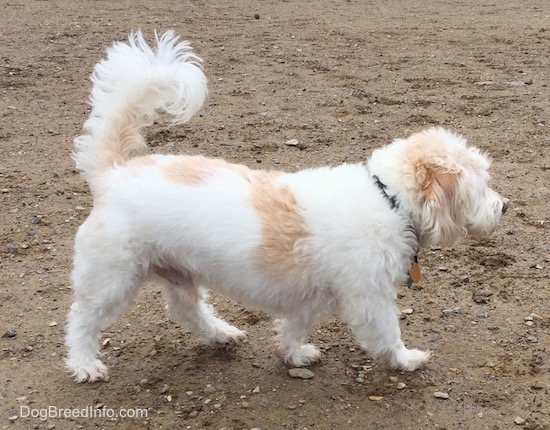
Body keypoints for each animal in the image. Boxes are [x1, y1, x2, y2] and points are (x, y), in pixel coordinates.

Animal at [64, 30, 508, 382]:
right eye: (483, 183)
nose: (504, 206)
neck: (388, 199)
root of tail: (111, 174)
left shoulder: (307, 297)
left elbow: (294, 327)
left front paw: (294, 354)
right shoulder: (370, 299)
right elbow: (387, 334)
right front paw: (407, 359)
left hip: (178, 272)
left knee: (187, 311)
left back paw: (222, 333)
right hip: (112, 278)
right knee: (82, 320)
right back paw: (85, 364)